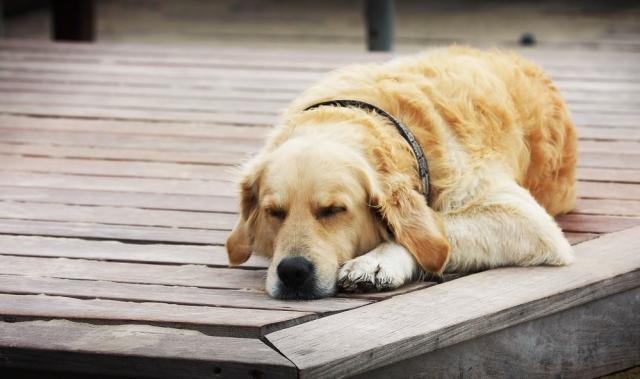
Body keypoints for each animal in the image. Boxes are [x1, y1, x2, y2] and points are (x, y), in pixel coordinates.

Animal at [224, 46, 576, 300]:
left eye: (334, 210)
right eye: (273, 212)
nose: (292, 272)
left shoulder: (527, 220)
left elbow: (433, 232)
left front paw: (375, 262)